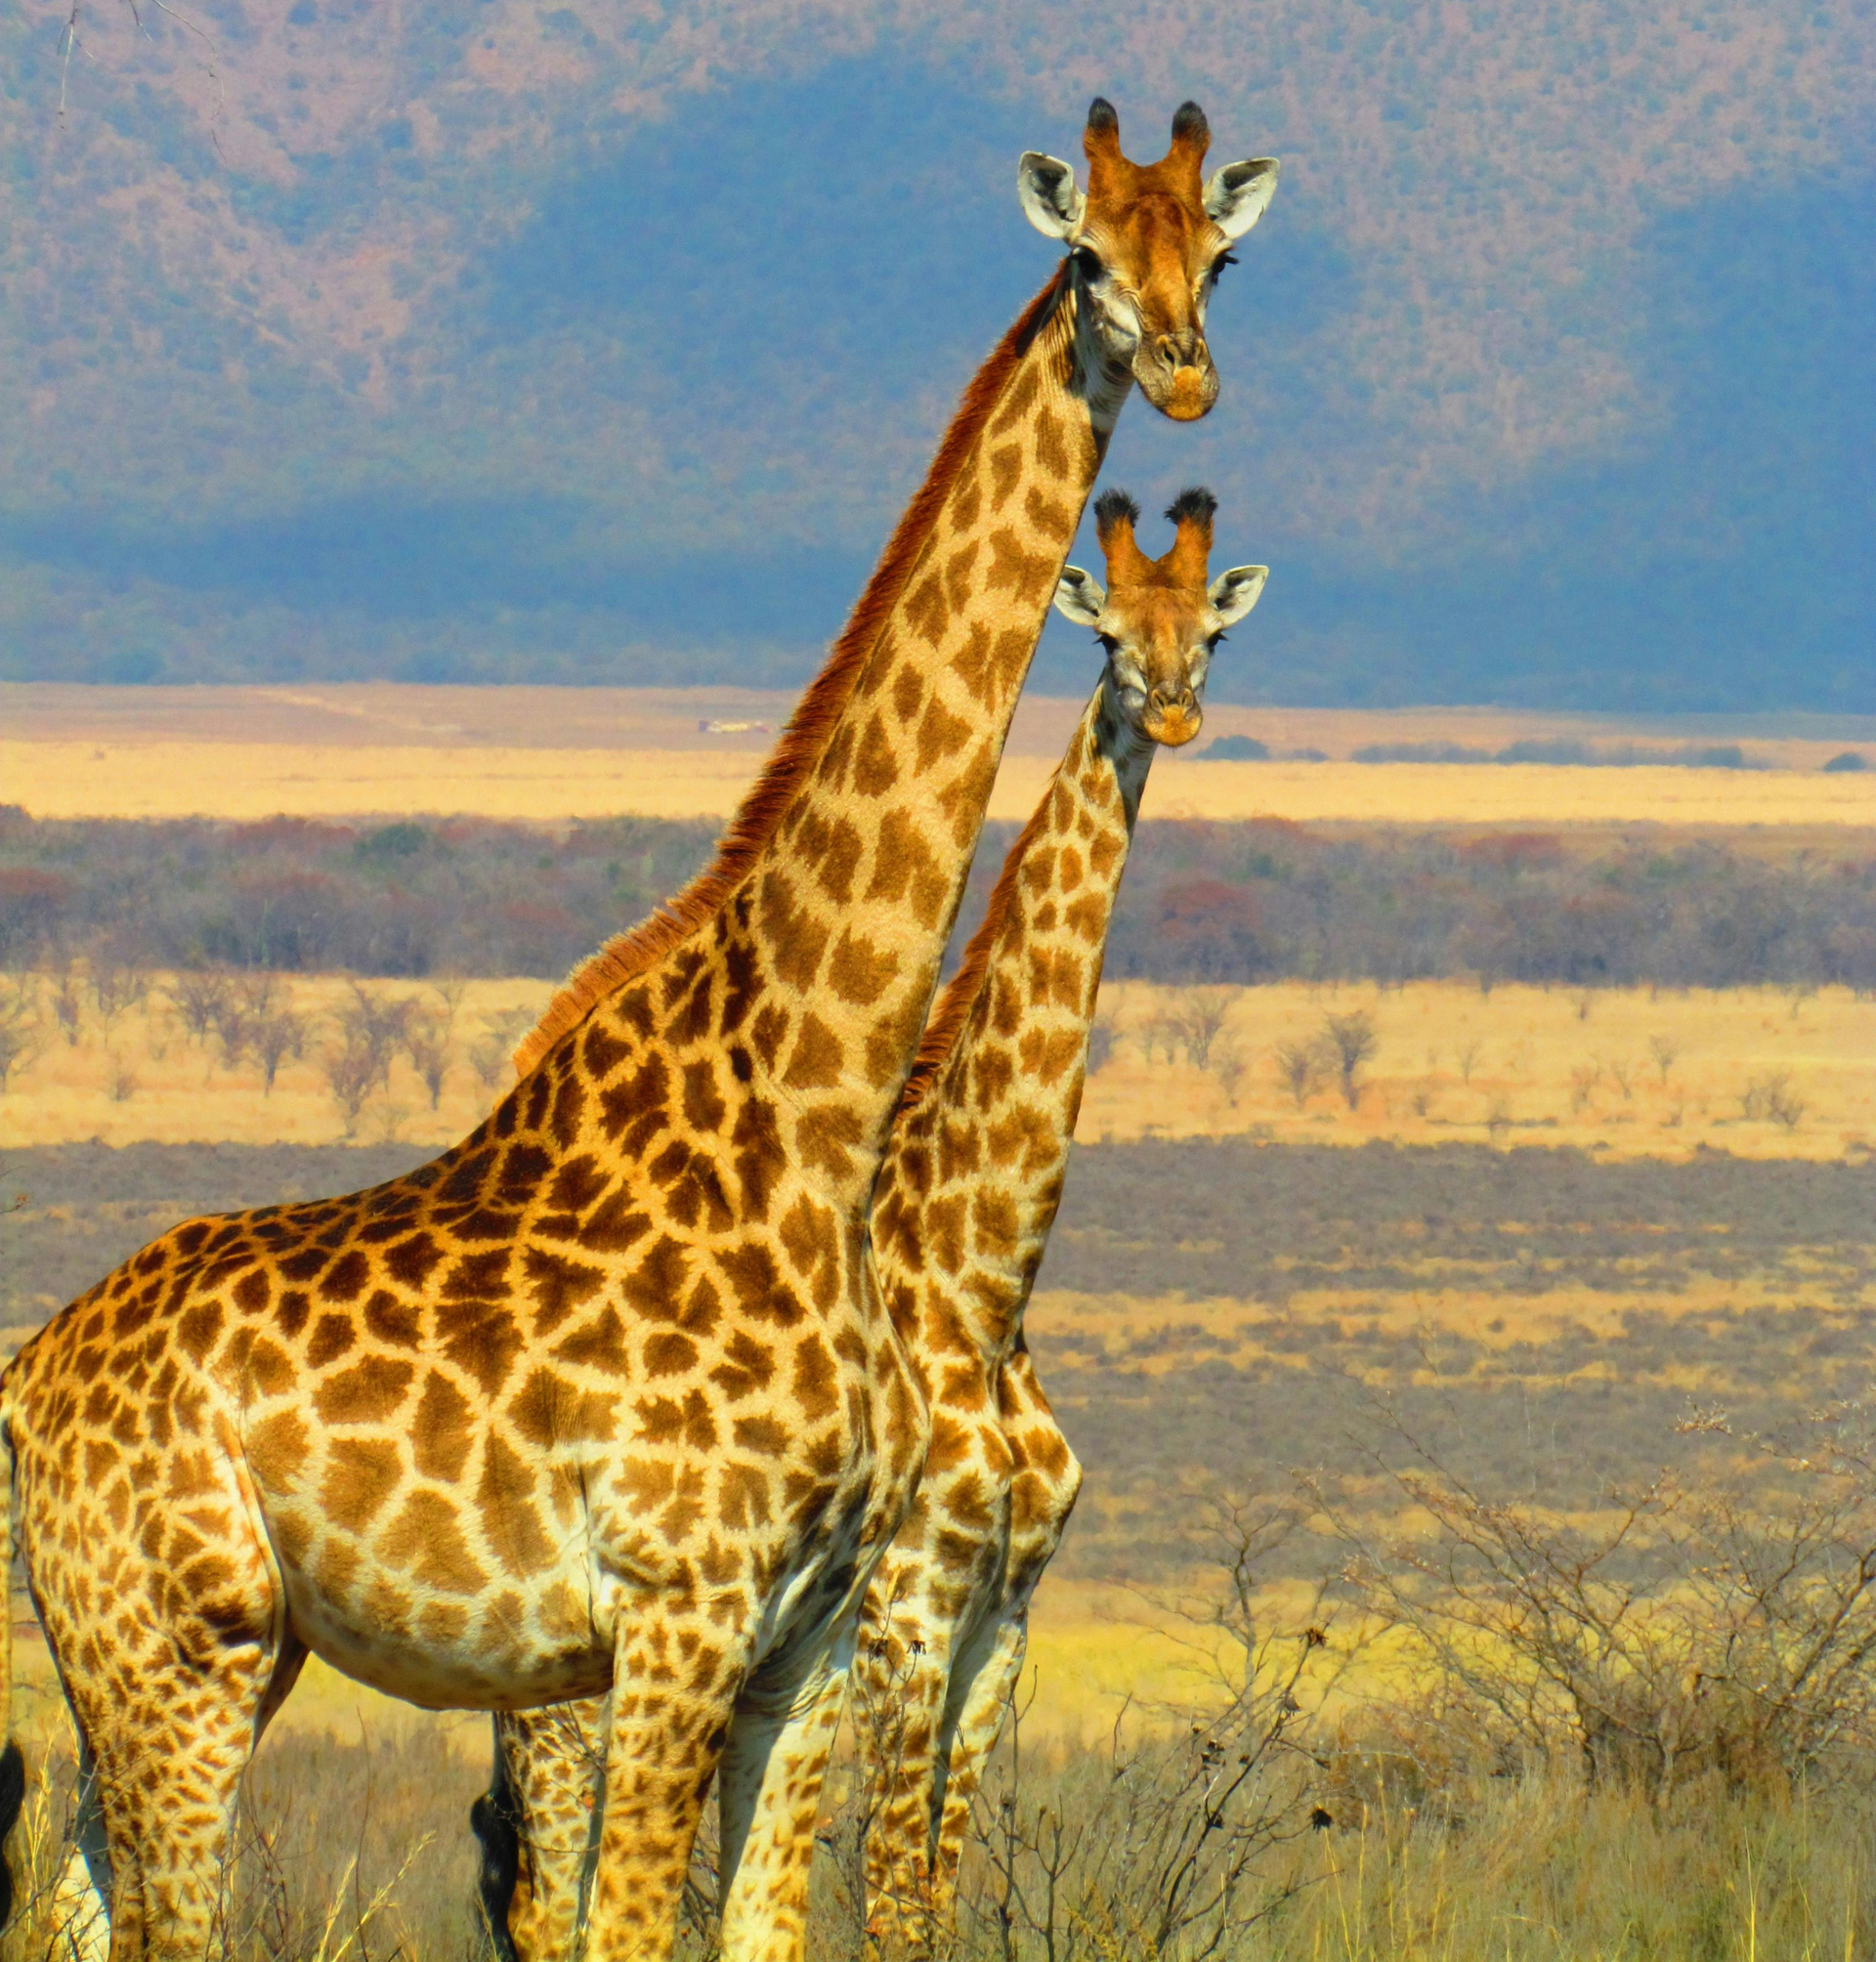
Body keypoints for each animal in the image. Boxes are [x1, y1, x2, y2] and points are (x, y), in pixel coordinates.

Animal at [471, 487, 1267, 1959]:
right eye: (1111, 635)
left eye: (1214, 633)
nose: (1176, 710)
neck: (983, 1278)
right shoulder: (906, 1606)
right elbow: (890, 1901)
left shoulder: (1003, 1619)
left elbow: (933, 1897)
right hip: (568, 1690)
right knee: (548, 1896)